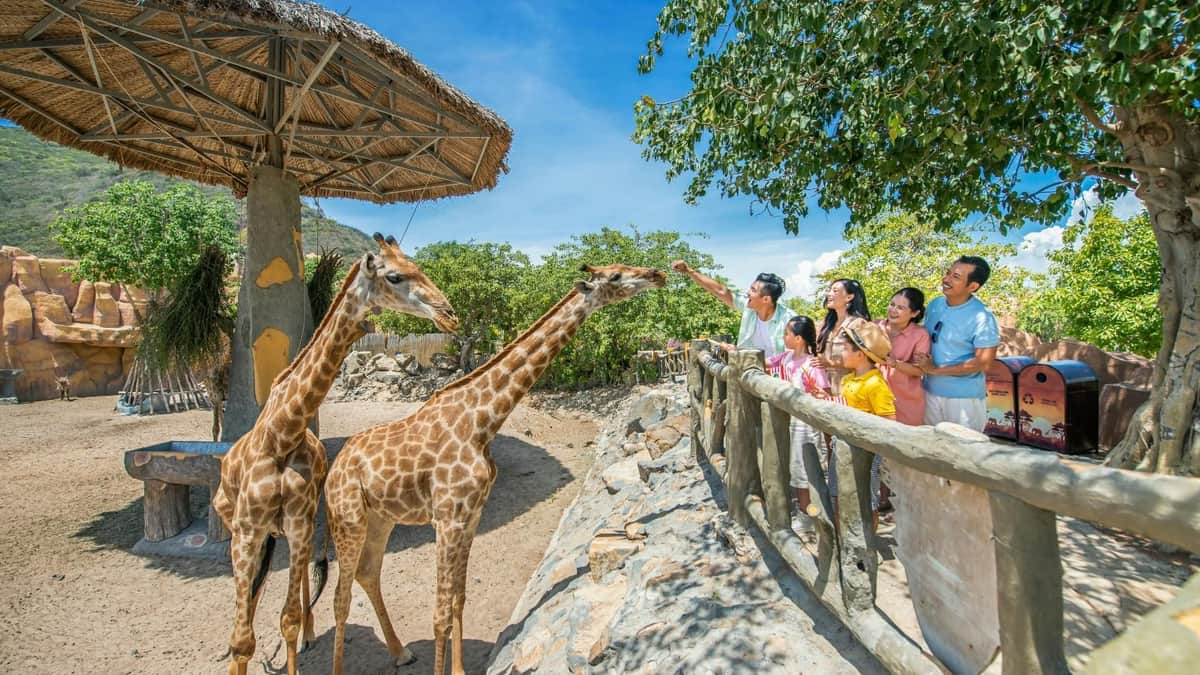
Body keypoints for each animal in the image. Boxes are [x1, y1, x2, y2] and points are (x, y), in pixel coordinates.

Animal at [210, 233, 458, 675]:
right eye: (395, 276)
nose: (449, 314)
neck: (282, 433)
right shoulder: (247, 528)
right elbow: (242, 638)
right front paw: (238, 652)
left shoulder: (297, 522)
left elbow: (287, 619)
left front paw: (299, 638)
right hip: (241, 526)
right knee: (254, 592)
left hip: (300, 528)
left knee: (301, 589)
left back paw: (320, 636)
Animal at [323, 263, 667, 675]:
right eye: (615, 276)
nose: (658, 274)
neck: (482, 422)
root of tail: (334, 468)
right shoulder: (447, 518)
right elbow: (439, 613)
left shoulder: (471, 516)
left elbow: (458, 598)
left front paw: (458, 670)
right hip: (348, 518)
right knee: (340, 597)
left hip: (381, 518)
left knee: (367, 572)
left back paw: (401, 652)